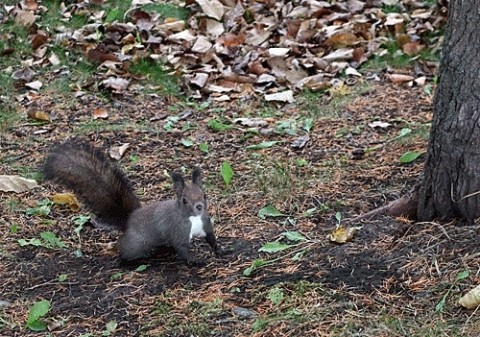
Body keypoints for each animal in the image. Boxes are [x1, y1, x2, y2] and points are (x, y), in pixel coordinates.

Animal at [42, 140, 220, 264]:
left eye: (204, 195)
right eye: (184, 200)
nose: (199, 207)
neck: (193, 218)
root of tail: (129, 220)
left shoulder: (205, 223)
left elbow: (211, 238)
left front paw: (219, 250)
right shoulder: (178, 230)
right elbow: (183, 249)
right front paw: (195, 260)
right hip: (136, 243)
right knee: (124, 251)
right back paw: (130, 259)